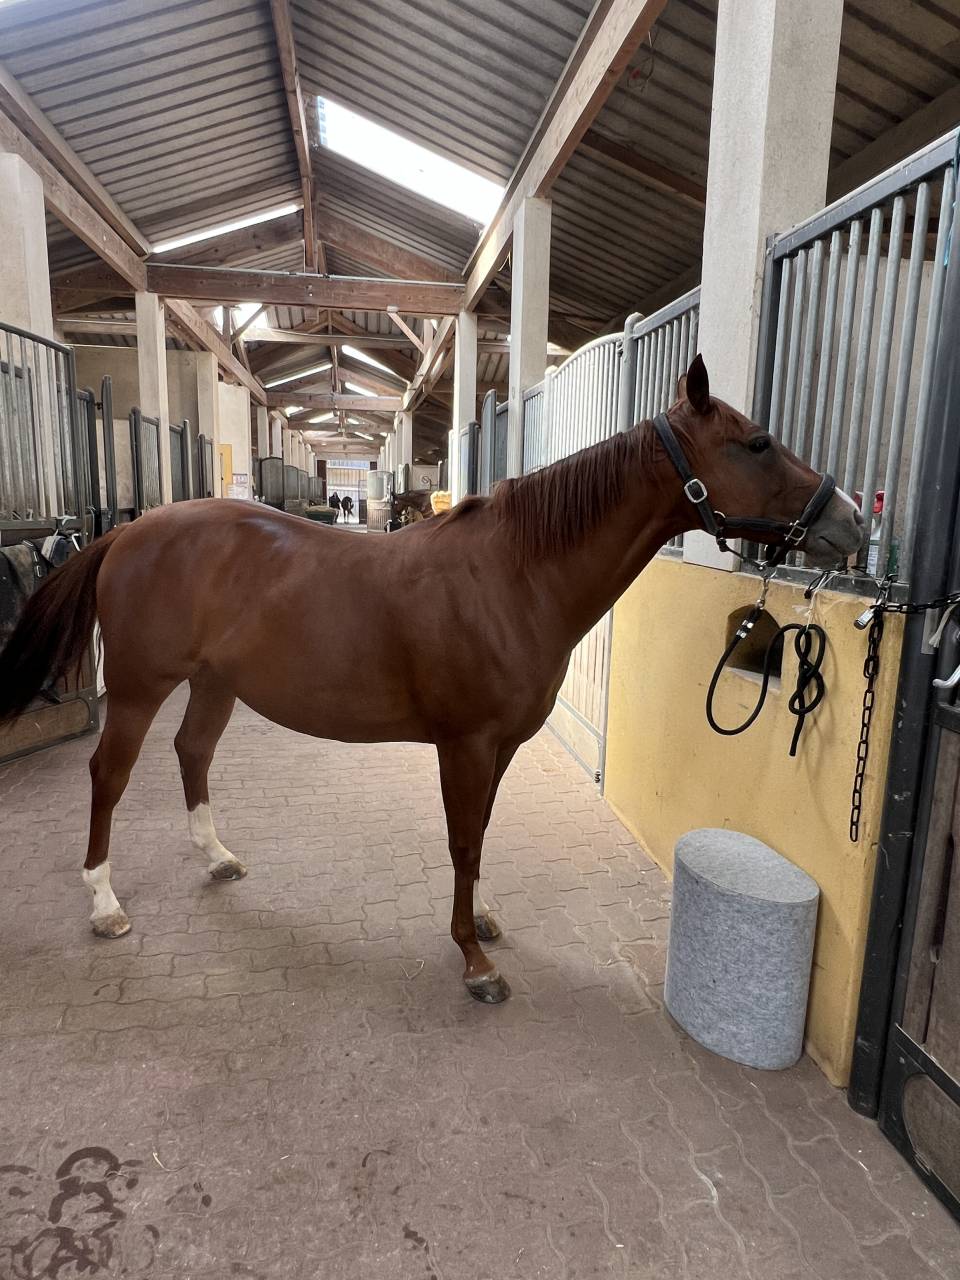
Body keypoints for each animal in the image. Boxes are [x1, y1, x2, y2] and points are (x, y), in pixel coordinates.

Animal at [0, 358, 862, 1004]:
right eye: (758, 443)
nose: (851, 520)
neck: (516, 576)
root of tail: (126, 535)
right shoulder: (465, 743)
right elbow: (462, 838)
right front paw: (474, 963)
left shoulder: (501, 746)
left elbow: (481, 834)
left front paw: (482, 919)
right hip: (139, 687)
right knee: (109, 775)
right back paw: (105, 904)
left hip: (216, 683)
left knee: (193, 752)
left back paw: (216, 858)